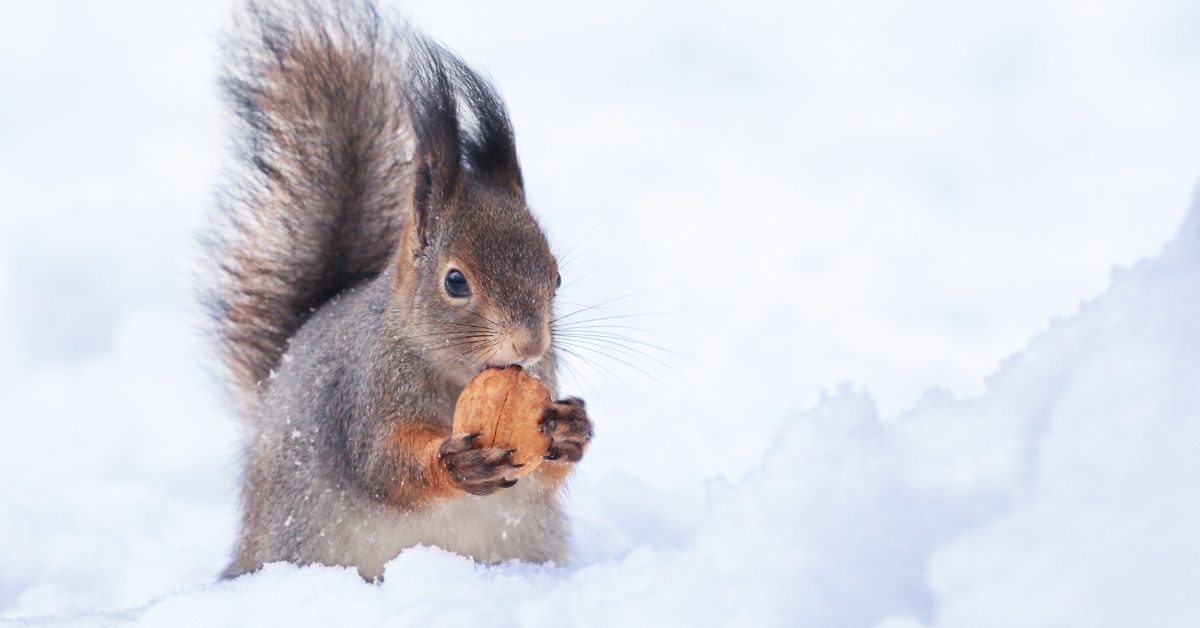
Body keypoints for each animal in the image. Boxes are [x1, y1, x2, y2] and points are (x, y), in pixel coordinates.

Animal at [210, 0, 595, 583]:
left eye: (555, 277)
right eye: (455, 281)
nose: (530, 346)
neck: (457, 377)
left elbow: (538, 481)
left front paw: (572, 428)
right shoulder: (363, 396)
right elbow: (384, 466)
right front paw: (455, 463)